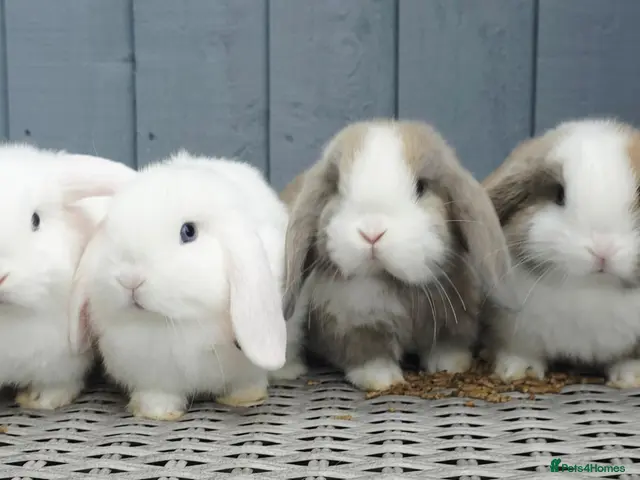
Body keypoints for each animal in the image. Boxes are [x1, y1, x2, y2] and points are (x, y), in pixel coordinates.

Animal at [68, 150, 288, 420]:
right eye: (110, 230)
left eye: (188, 231)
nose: (130, 279)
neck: (174, 323)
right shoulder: (153, 375)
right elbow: (158, 394)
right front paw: (156, 412)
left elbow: (247, 382)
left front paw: (245, 399)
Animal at [273, 119, 515, 391]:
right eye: (337, 189)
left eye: (421, 187)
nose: (372, 233)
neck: (398, 285)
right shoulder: (355, 322)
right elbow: (370, 353)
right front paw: (382, 379)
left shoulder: (453, 316)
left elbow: (448, 345)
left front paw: (451, 366)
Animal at [481, 117, 640, 388]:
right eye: (559, 194)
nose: (603, 249)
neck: (590, 292)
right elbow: (520, 350)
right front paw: (517, 370)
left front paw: (631, 377)